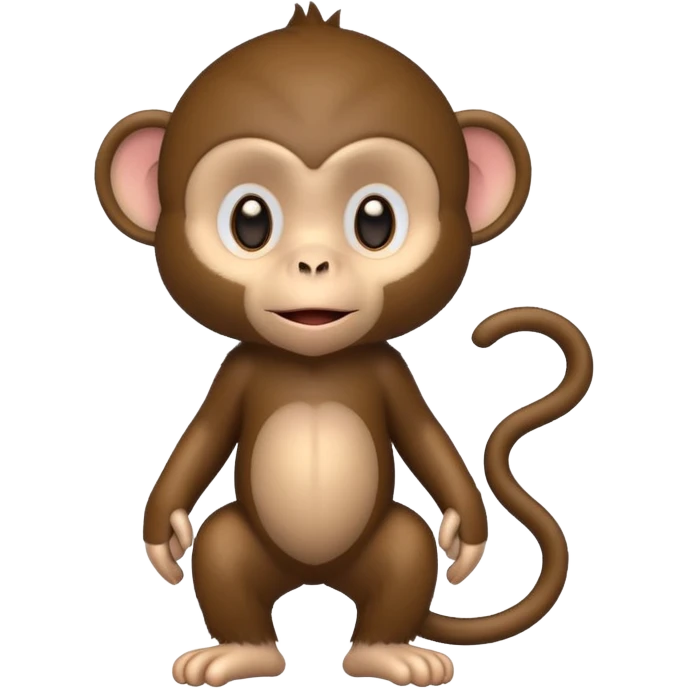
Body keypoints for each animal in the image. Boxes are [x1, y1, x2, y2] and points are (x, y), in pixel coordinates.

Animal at [94, 3, 594, 687]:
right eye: (250, 220)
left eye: (375, 220)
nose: (313, 263)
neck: (314, 363)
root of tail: (316, 578)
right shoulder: (237, 370)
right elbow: (201, 440)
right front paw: (164, 537)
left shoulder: (388, 368)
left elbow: (425, 437)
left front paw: (465, 539)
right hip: (242, 547)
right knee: (221, 555)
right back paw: (240, 652)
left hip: (390, 547)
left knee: (406, 558)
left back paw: (389, 653)